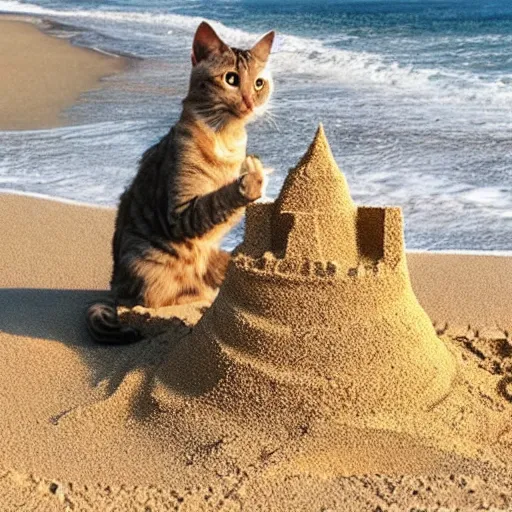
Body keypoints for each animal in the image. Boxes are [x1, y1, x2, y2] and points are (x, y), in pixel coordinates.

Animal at [86, 21, 274, 344]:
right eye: (231, 79)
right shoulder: (182, 212)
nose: (250, 102)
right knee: (158, 300)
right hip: (148, 266)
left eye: (259, 83)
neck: (227, 138)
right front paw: (251, 178)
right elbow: (218, 200)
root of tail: (114, 287)